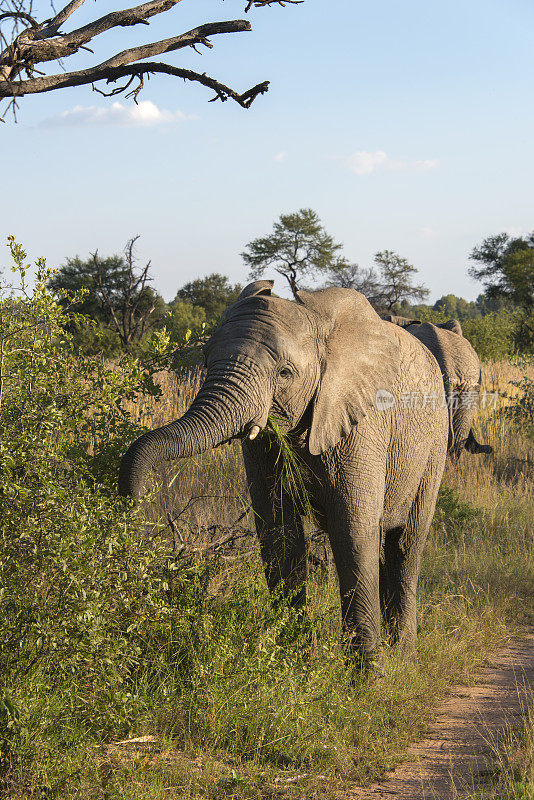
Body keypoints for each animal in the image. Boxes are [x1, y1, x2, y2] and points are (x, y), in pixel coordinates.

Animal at [120, 284, 452, 660]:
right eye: (205, 362)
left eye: (284, 374)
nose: (136, 502)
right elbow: (280, 535)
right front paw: (295, 659)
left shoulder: (363, 424)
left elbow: (352, 532)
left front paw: (368, 671)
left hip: (433, 445)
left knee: (406, 545)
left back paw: (404, 654)